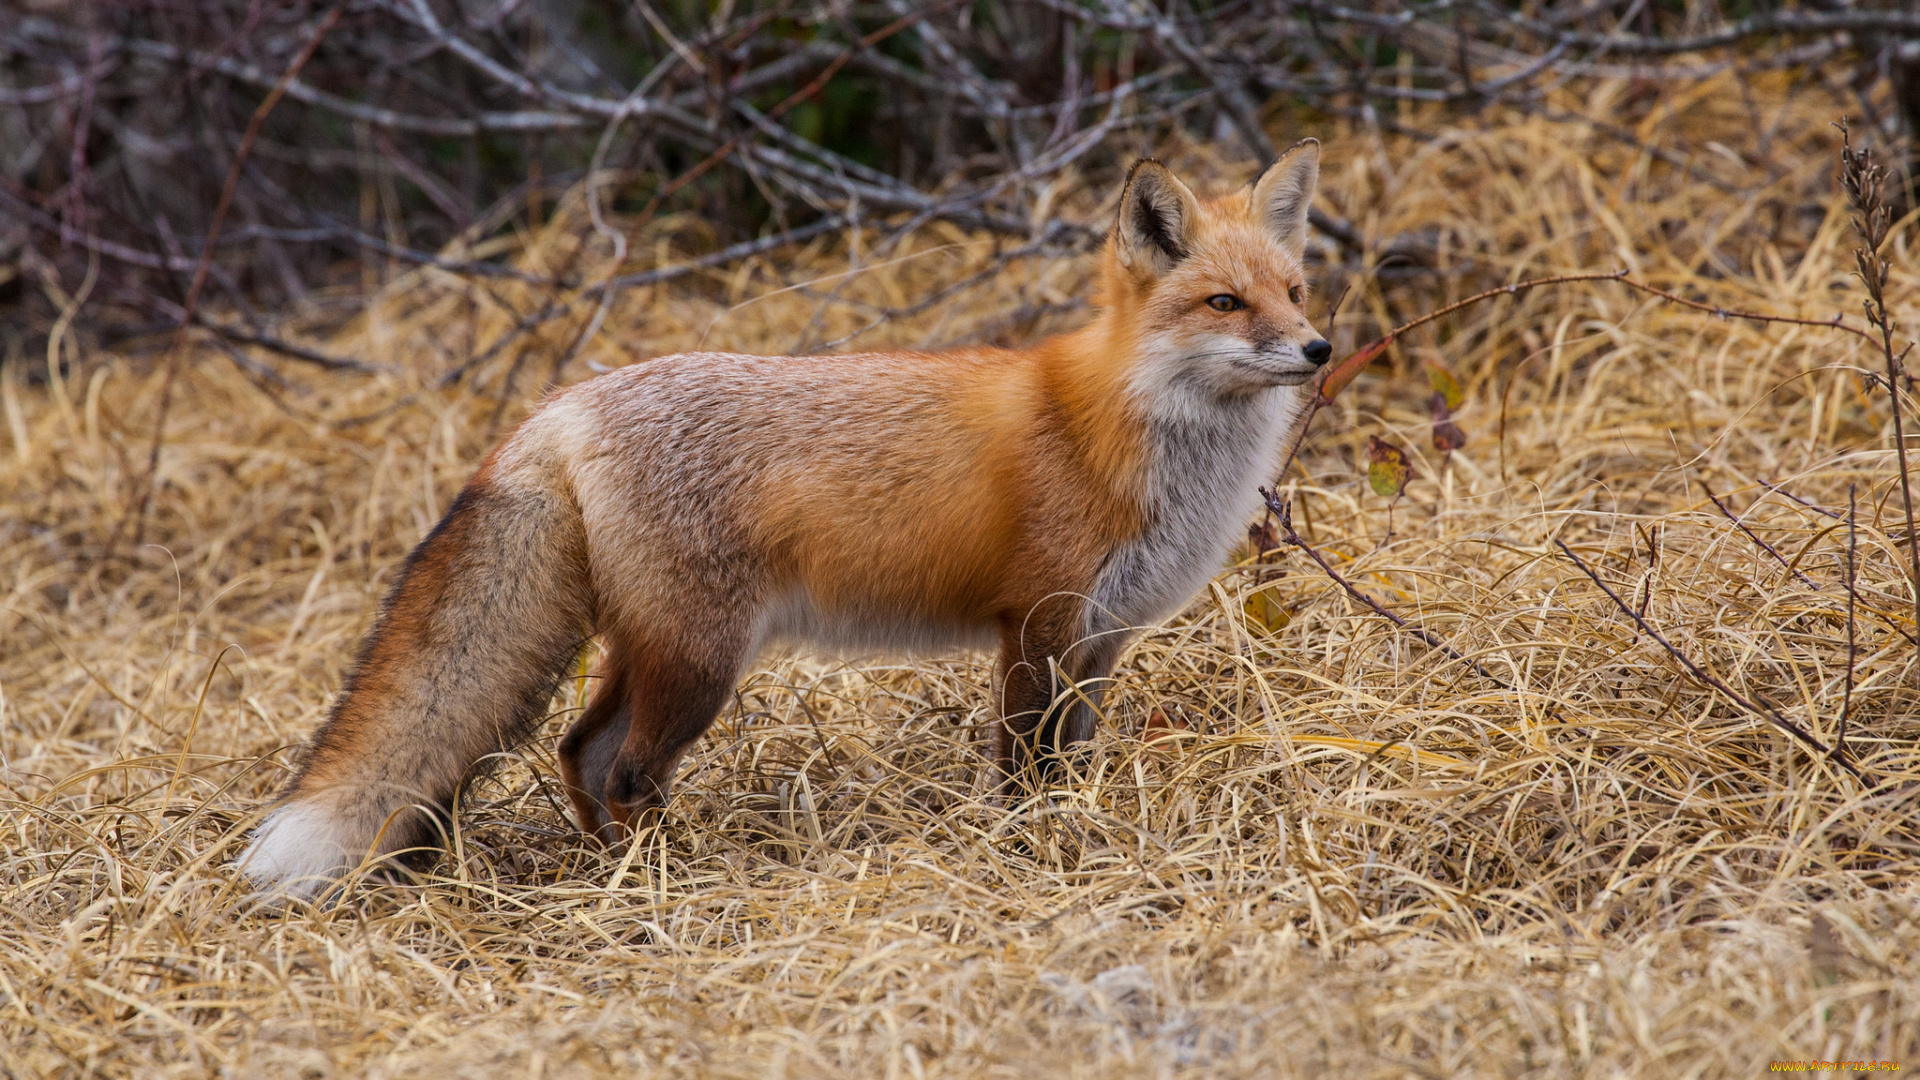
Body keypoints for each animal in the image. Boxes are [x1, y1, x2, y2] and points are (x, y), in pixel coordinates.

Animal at [240, 143, 1328, 899]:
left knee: (579, 752)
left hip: (655, 647)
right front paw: (1028, 853)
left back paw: (611, 878)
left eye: (1294, 290)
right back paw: (665, 883)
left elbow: (1072, 761)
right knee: (625, 769)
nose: (1318, 348)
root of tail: (563, 403)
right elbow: (1023, 769)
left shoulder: (1100, 635)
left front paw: (1074, 830)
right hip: (702, 659)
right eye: (1225, 303)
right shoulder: (1037, 623)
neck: (1125, 429)